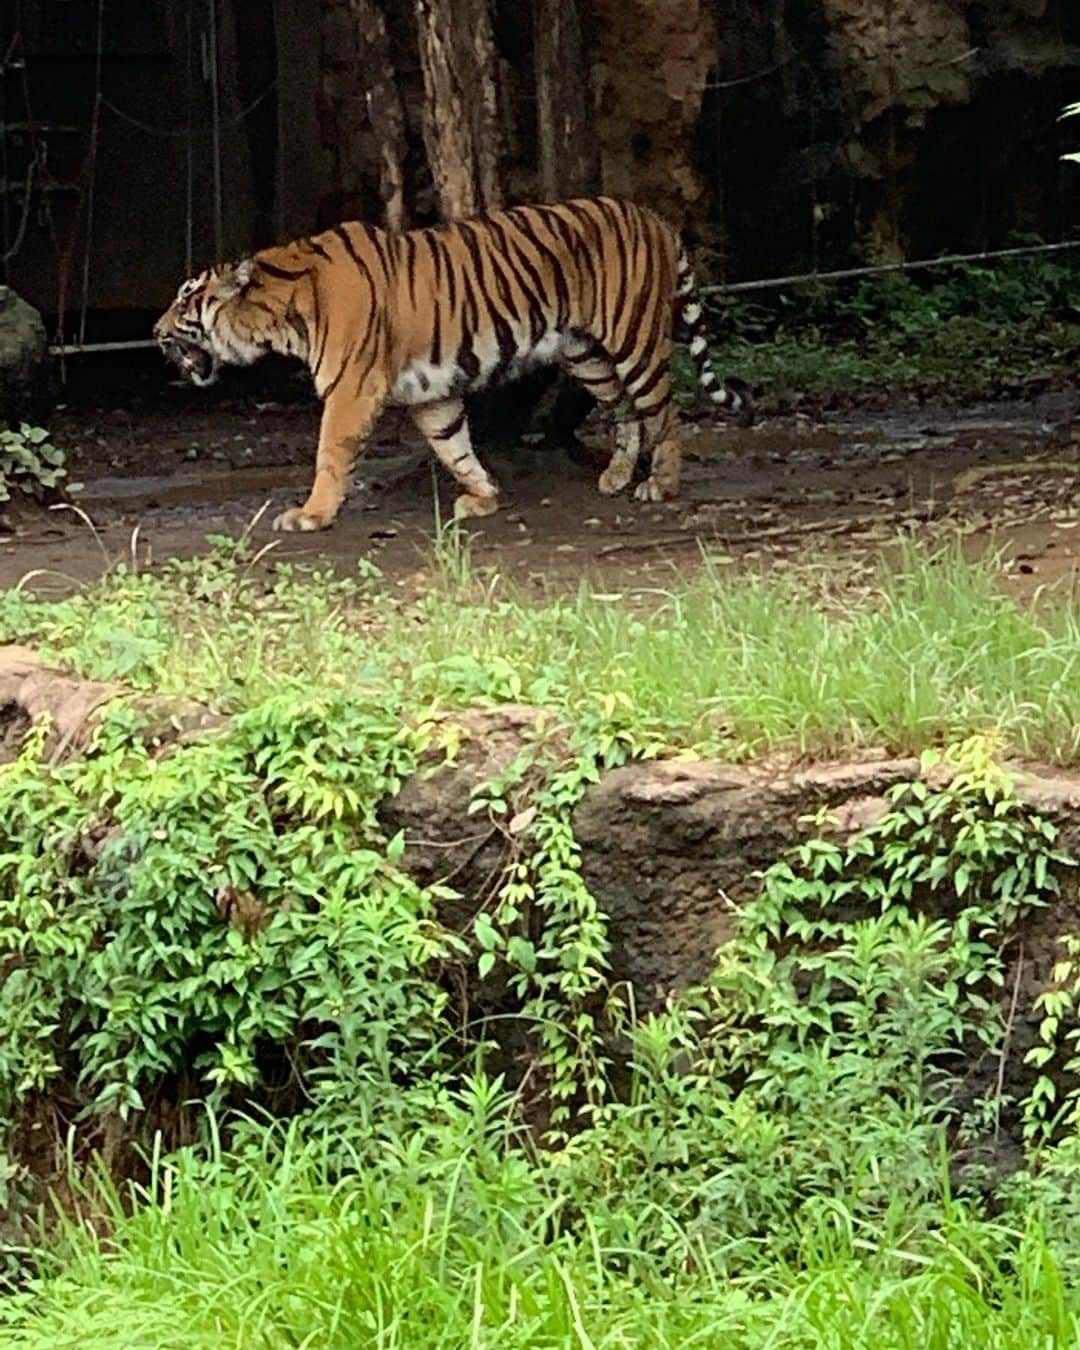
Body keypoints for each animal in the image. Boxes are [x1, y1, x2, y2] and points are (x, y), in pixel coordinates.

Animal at [153, 197, 750, 531]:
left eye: (185, 298)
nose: (155, 333)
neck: (282, 311)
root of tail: (656, 218)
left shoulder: (350, 389)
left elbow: (330, 454)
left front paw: (312, 515)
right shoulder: (430, 393)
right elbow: (455, 447)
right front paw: (484, 498)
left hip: (634, 340)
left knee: (666, 413)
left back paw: (661, 484)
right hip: (586, 354)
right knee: (624, 410)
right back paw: (618, 476)